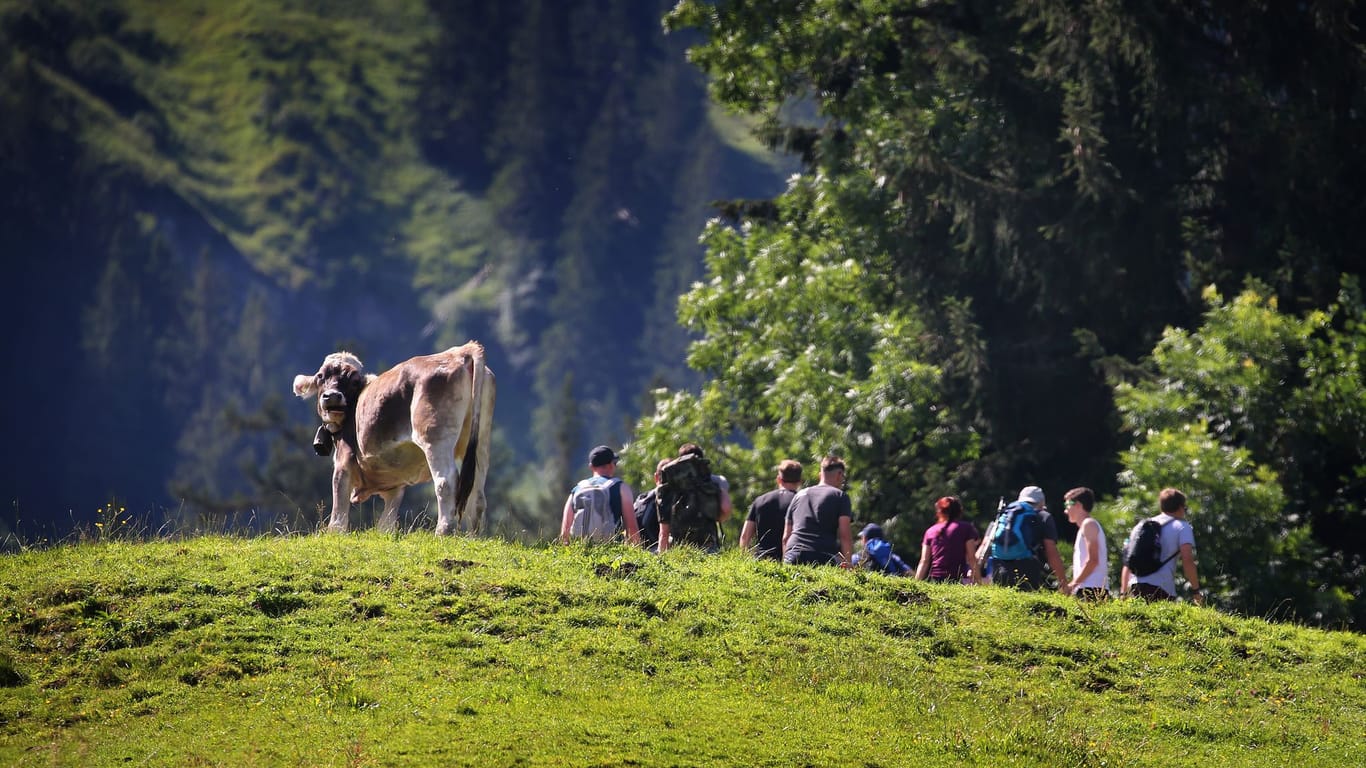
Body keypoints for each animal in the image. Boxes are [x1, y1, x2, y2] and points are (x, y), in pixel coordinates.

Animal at [290, 340, 494, 532]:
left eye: (354, 380)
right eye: (320, 376)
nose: (331, 396)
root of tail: (459, 352)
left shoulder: (344, 461)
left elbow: (338, 513)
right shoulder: (395, 485)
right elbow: (386, 524)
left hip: (435, 437)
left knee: (446, 481)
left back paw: (443, 531)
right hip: (481, 441)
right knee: (477, 493)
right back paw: (472, 536)